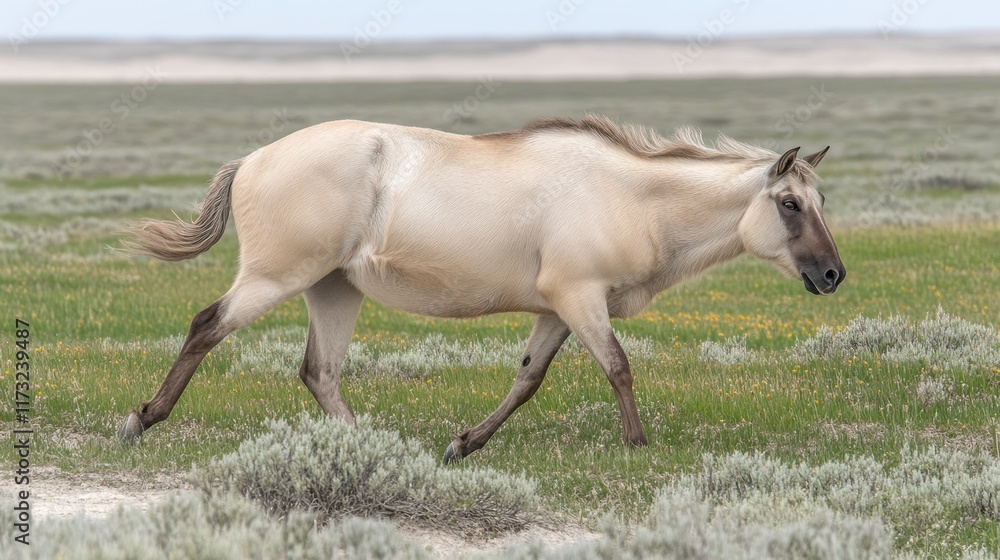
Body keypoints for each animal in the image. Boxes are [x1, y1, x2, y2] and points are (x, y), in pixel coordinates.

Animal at [118, 115, 845, 463]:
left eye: (820, 200)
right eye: (788, 203)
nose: (833, 274)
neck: (632, 197)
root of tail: (255, 158)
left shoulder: (558, 310)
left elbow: (527, 380)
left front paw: (463, 445)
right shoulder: (580, 298)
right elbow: (618, 367)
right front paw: (639, 447)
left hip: (332, 290)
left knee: (319, 371)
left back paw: (371, 448)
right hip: (276, 278)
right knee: (207, 325)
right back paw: (141, 419)